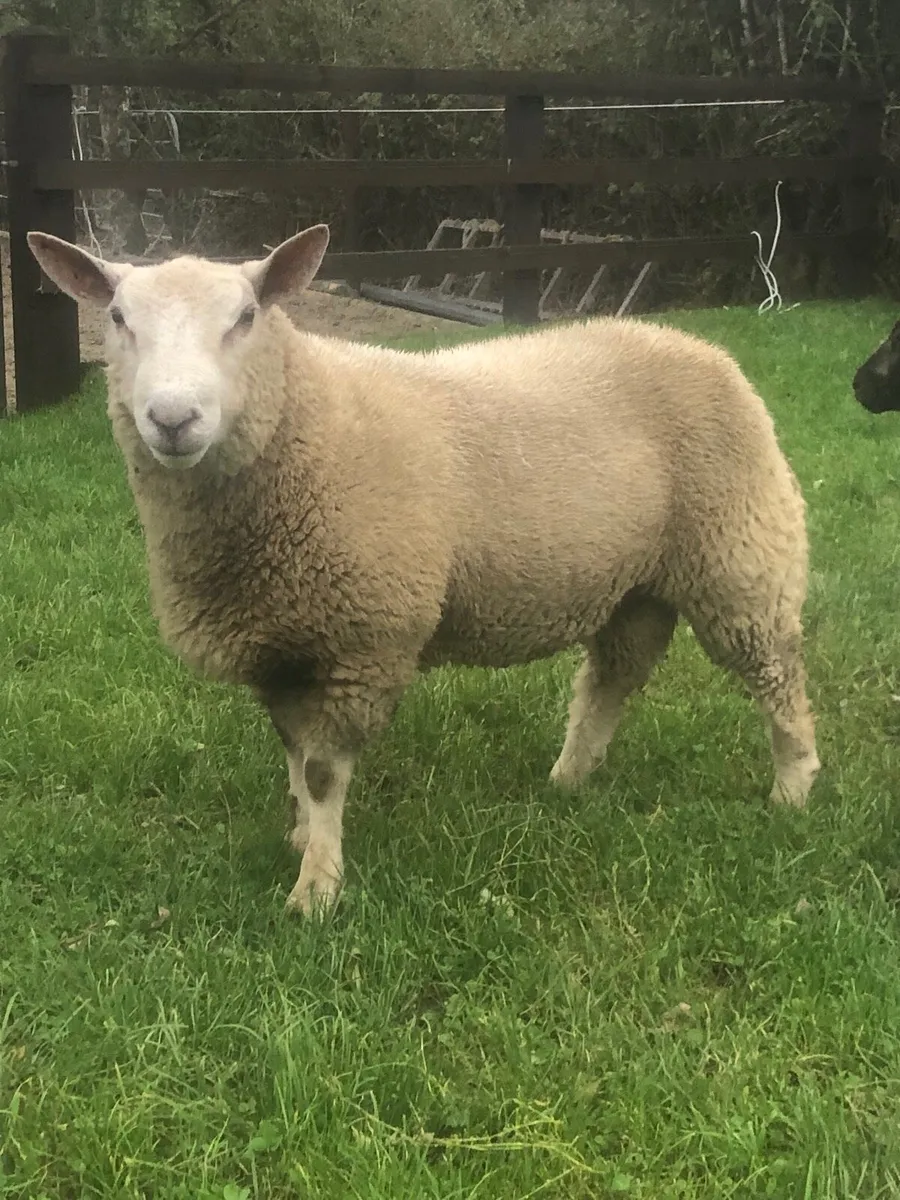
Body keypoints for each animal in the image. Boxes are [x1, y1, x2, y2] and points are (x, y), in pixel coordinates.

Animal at [27, 224, 821, 916]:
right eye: (118, 317)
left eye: (247, 316)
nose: (172, 419)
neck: (306, 424)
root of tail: (699, 346)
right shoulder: (284, 643)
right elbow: (294, 757)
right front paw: (301, 838)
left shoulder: (362, 641)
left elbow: (322, 772)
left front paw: (317, 890)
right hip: (635, 582)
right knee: (611, 679)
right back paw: (568, 781)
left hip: (739, 552)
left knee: (776, 672)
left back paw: (793, 788)